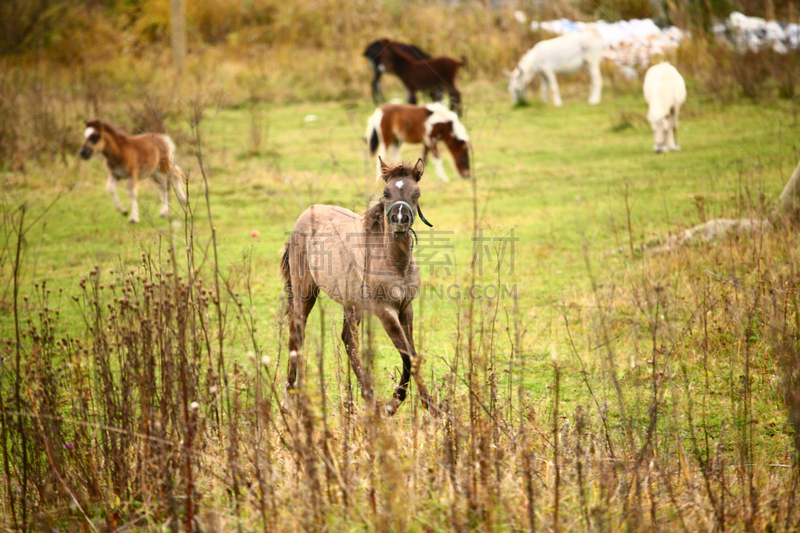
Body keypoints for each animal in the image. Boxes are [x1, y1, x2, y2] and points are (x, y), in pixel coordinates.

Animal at [282, 158, 440, 416]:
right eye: (386, 193)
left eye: (416, 193)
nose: (399, 221)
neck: (394, 262)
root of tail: (305, 214)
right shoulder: (385, 311)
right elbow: (406, 355)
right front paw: (393, 404)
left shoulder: (406, 308)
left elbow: (413, 356)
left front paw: (432, 407)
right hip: (304, 293)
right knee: (297, 335)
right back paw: (288, 401)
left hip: (352, 305)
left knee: (349, 342)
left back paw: (369, 398)